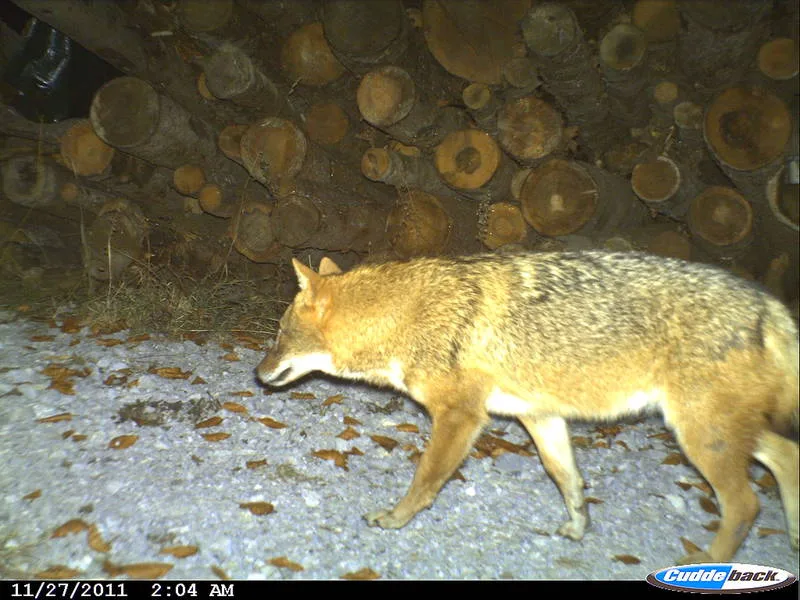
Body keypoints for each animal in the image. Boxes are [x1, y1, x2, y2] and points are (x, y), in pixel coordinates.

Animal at [256, 250, 799, 565]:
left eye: (279, 334)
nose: (257, 375)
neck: (408, 315)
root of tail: (769, 306)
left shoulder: (461, 417)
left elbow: (425, 479)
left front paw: (394, 519)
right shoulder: (540, 416)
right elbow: (568, 480)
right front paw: (578, 529)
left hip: (700, 435)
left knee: (746, 505)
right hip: (722, 431)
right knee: (787, 459)